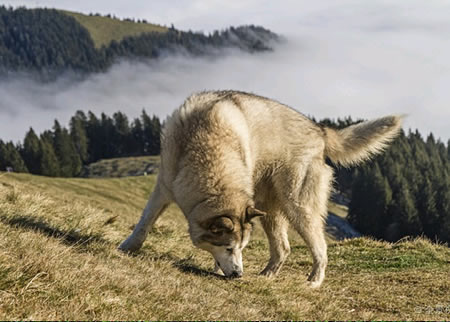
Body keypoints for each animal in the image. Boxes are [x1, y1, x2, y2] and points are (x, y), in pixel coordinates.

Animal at [118, 90, 400, 286]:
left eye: (241, 248)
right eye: (229, 248)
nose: (238, 275)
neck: (205, 143)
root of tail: (319, 130)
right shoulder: (164, 186)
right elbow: (144, 223)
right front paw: (128, 248)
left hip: (297, 206)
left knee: (320, 246)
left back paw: (314, 281)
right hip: (268, 210)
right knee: (283, 248)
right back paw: (267, 275)